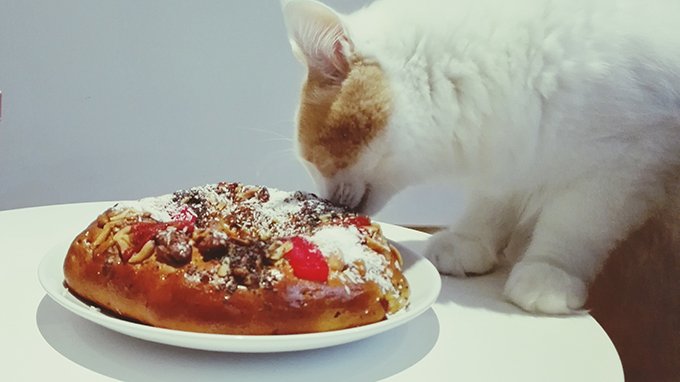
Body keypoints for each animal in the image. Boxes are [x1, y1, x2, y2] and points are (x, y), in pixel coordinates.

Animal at [280, 0, 680, 314]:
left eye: (315, 160)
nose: (327, 201)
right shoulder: (510, 152)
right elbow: (491, 204)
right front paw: (469, 242)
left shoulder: (624, 160)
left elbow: (572, 225)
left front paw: (548, 271)